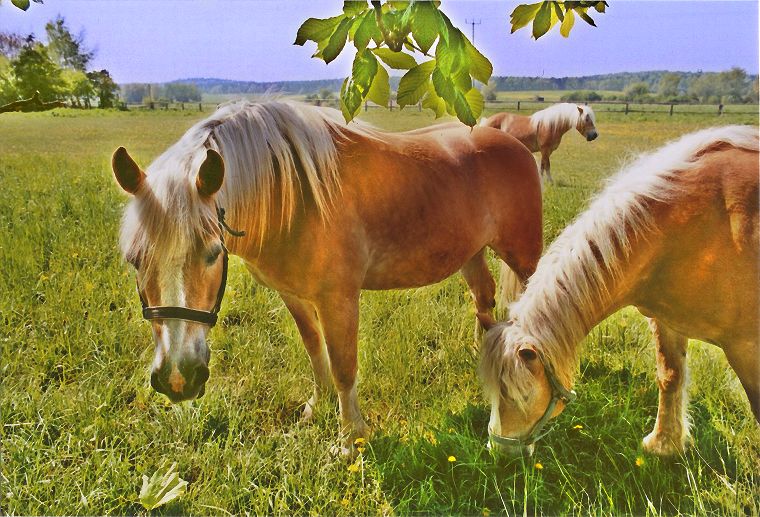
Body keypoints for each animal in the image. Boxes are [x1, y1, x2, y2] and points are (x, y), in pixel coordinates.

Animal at [110, 99, 544, 454]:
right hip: (470, 253)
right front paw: (314, 411)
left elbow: (343, 366)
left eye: (213, 253)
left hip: (524, 257)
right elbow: (315, 351)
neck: (292, 198)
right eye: (134, 260)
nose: (178, 378)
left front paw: (350, 438)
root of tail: (511, 142)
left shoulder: (339, 298)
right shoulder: (293, 296)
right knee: (483, 302)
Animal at [480, 125, 760, 456]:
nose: (500, 451)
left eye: (521, 395)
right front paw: (663, 445)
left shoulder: (747, 347)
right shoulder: (667, 321)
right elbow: (670, 377)